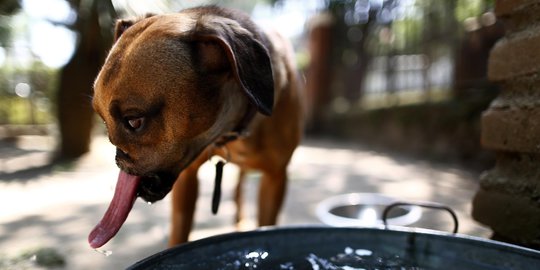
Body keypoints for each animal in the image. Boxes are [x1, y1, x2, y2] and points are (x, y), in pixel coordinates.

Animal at [90, 4, 306, 249]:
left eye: (134, 121)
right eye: (103, 120)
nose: (118, 158)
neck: (228, 132)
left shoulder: (275, 178)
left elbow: (267, 224)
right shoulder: (187, 179)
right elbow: (179, 231)